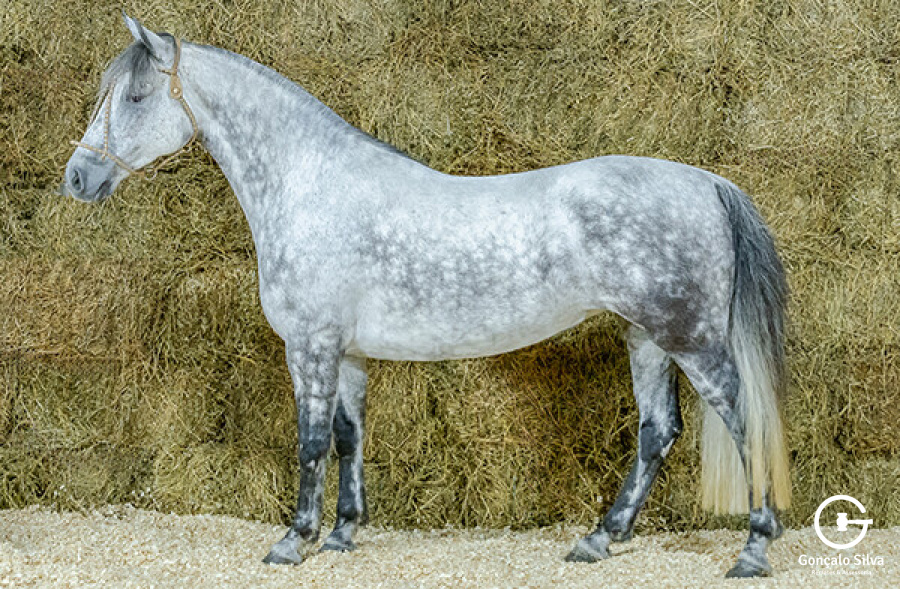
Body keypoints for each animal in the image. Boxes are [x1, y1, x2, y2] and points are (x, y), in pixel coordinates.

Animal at [62, 13, 792, 578]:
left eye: (135, 97)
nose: (77, 177)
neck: (311, 185)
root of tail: (704, 181)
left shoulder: (311, 346)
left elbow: (310, 441)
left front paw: (293, 541)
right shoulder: (349, 353)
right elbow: (349, 436)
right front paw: (343, 534)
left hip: (692, 340)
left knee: (744, 419)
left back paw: (753, 549)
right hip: (645, 337)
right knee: (656, 432)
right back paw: (597, 539)